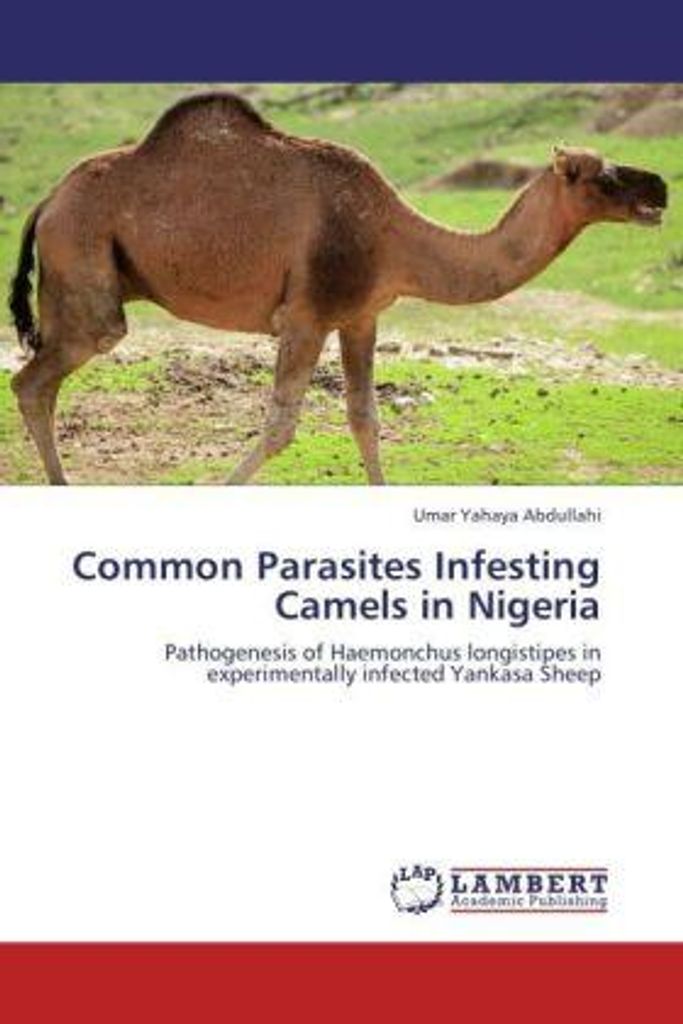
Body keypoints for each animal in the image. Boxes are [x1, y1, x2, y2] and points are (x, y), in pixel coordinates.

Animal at [8, 91, 667, 485]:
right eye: (602, 177)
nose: (659, 187)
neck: (394, 235)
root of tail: (46, 203)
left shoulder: (360, 316)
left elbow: (364, 418)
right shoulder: (306, 316)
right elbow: (280, 427)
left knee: (38, 382)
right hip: (86, 269)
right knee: (36, 378)